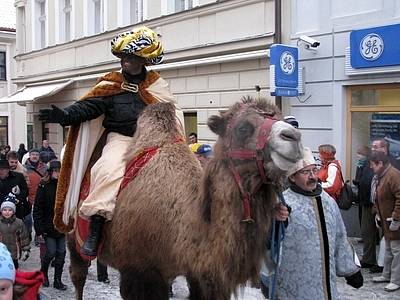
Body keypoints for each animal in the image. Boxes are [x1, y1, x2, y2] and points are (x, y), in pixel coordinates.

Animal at [67, 97, 302, 298]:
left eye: (280, 117)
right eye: (243, 127)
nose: (294, 136)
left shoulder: (198, 273)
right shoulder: (138, 271)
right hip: (73, 235)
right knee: (78, 275)